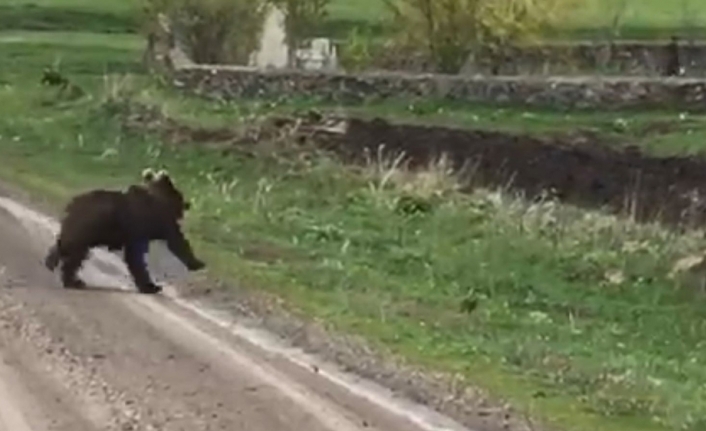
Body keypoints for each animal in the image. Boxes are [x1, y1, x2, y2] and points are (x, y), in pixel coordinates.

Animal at [44, 169, 205, 294]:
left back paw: (54, 264)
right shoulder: (143, 228)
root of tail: (70, 205)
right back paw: (73, 281)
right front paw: (151, 286)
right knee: (75, 255)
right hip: (84, 229)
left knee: (66, 247)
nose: (188, 204)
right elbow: (143, 255)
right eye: (180, 196)